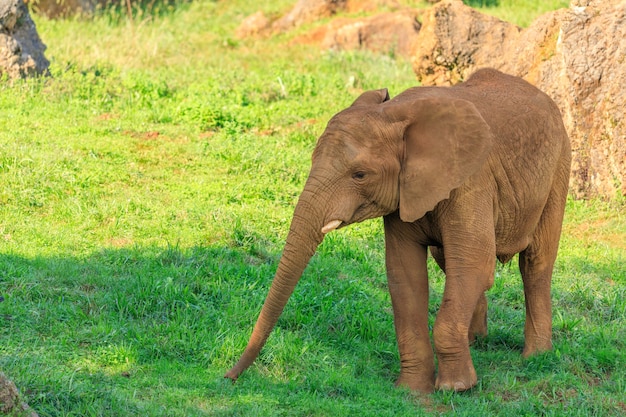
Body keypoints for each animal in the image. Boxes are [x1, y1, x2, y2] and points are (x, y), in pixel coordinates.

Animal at [224, 67, 572, 390]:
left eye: (360, 175)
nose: (228, 377)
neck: (396, 115)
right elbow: (405, 274)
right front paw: (412, 390)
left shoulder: (472, 181)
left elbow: (474, 263)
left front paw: (456, 388)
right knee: (447, 261)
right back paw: (477, 342)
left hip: (559, 165)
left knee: (535, 264)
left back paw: (536, 357)